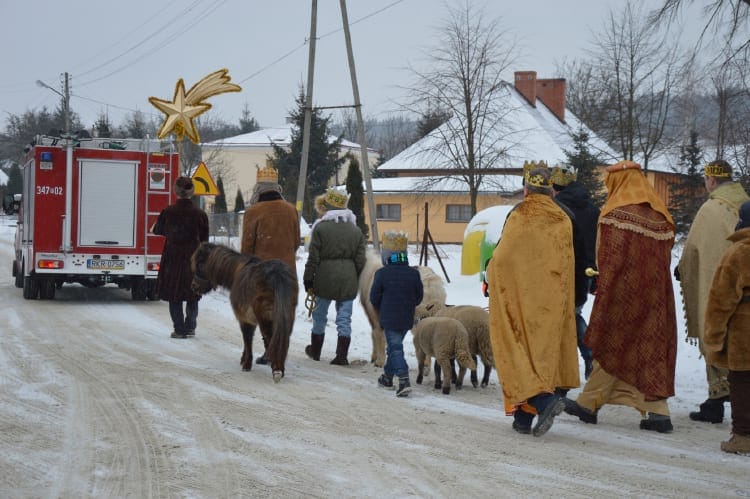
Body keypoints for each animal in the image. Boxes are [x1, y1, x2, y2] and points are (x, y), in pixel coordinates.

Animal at [191, 242, 300, 382]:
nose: (194, 286)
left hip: (266, 317)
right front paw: (244, 359)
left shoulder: (244, 319)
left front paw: (246, 364)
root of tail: (278, 275)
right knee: (281, 339)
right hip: (287, 316)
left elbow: (247, 339)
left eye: (200, 264)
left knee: (270, 338)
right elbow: (248, 339)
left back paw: (276, 369)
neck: (236, 270)